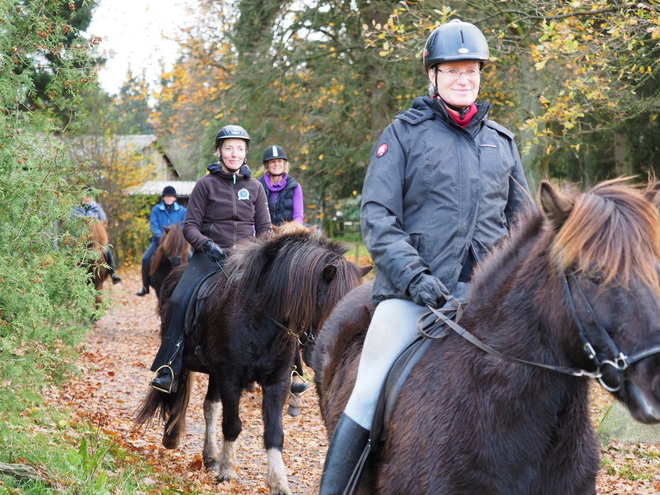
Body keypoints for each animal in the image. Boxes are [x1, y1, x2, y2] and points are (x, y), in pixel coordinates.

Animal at [135, 231, 372, 494]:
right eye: (330, 304)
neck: (260, 317)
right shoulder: (230, 378)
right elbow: (232, 425)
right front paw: (228, 472)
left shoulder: (276, 383)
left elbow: (274, 433)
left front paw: (279, 482)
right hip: (187, 361)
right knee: (181, 392)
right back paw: (173, 435)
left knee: (210, 407)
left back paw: (210, 456)